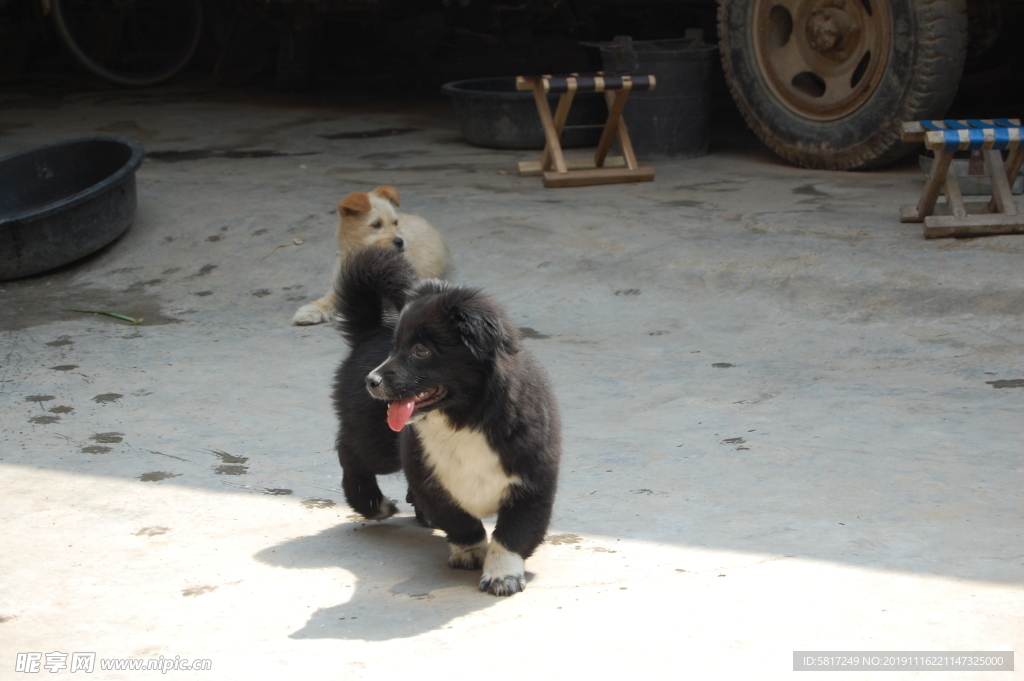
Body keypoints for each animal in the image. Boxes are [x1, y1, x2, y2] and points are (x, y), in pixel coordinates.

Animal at [335, 245, 561, 593]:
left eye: (421, 350)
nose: (371, 381)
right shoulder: (429, 475)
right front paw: (471, 552)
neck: (464, 419)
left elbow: (514, 534)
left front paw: (501, 575)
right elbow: (460, 520)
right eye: (395, 348)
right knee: (350, 451)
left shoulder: (533, 481)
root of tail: (370, 328)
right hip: (378, 442)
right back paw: (372, 503)